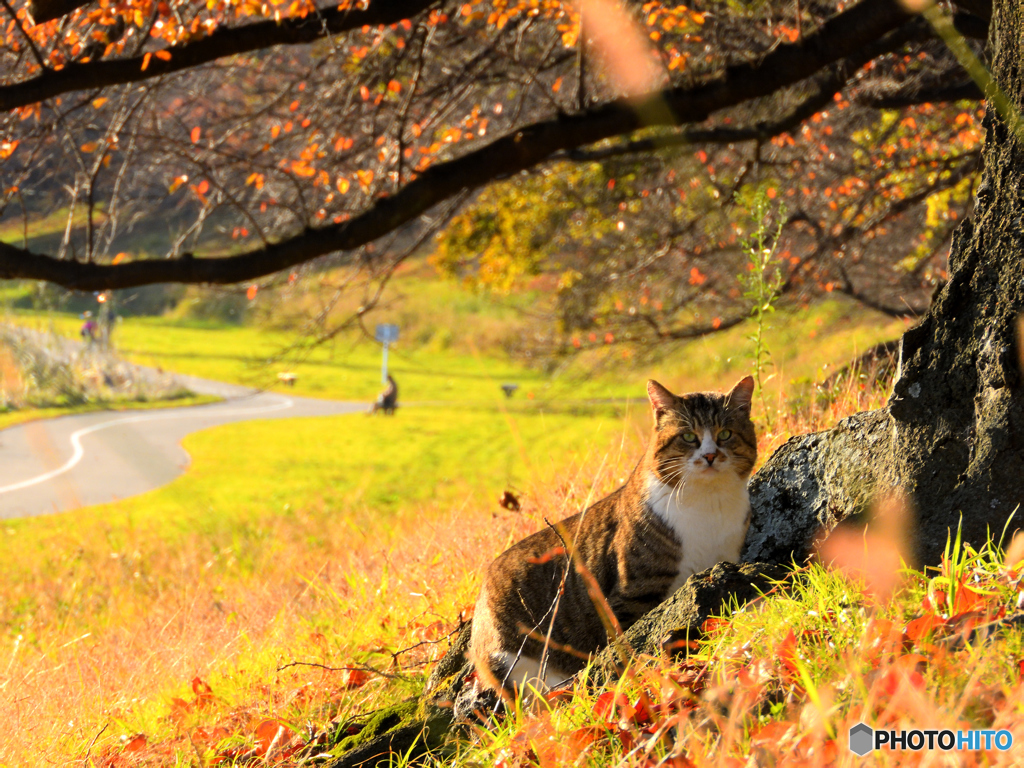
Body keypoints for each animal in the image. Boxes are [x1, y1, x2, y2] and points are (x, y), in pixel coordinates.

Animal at [468, 378, 757, 696]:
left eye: (725, 434)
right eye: (688, 436)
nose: (710, 455)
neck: (708, 502)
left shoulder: (727, 555)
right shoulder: (632, 595)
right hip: (515, 659)